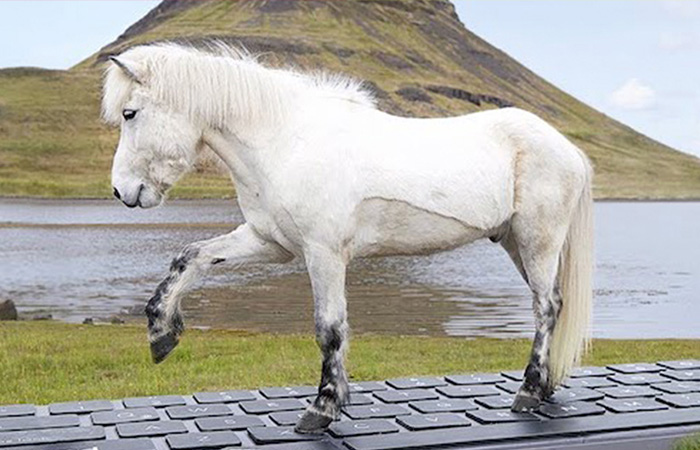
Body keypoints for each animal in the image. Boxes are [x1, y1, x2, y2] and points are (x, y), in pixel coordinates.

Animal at [103, 42, 593, 434]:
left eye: (130, 113)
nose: (121, 191)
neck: (285, 142)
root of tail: (568, 148)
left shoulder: (323, 254)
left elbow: (329, 328)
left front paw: (322, 408)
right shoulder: (270, 243)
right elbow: (190, 257)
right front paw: (161, 334)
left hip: (538, 241)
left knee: (545, 308)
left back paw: (528, 391)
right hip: (514, 243)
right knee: (552, 303)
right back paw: (544, 387)